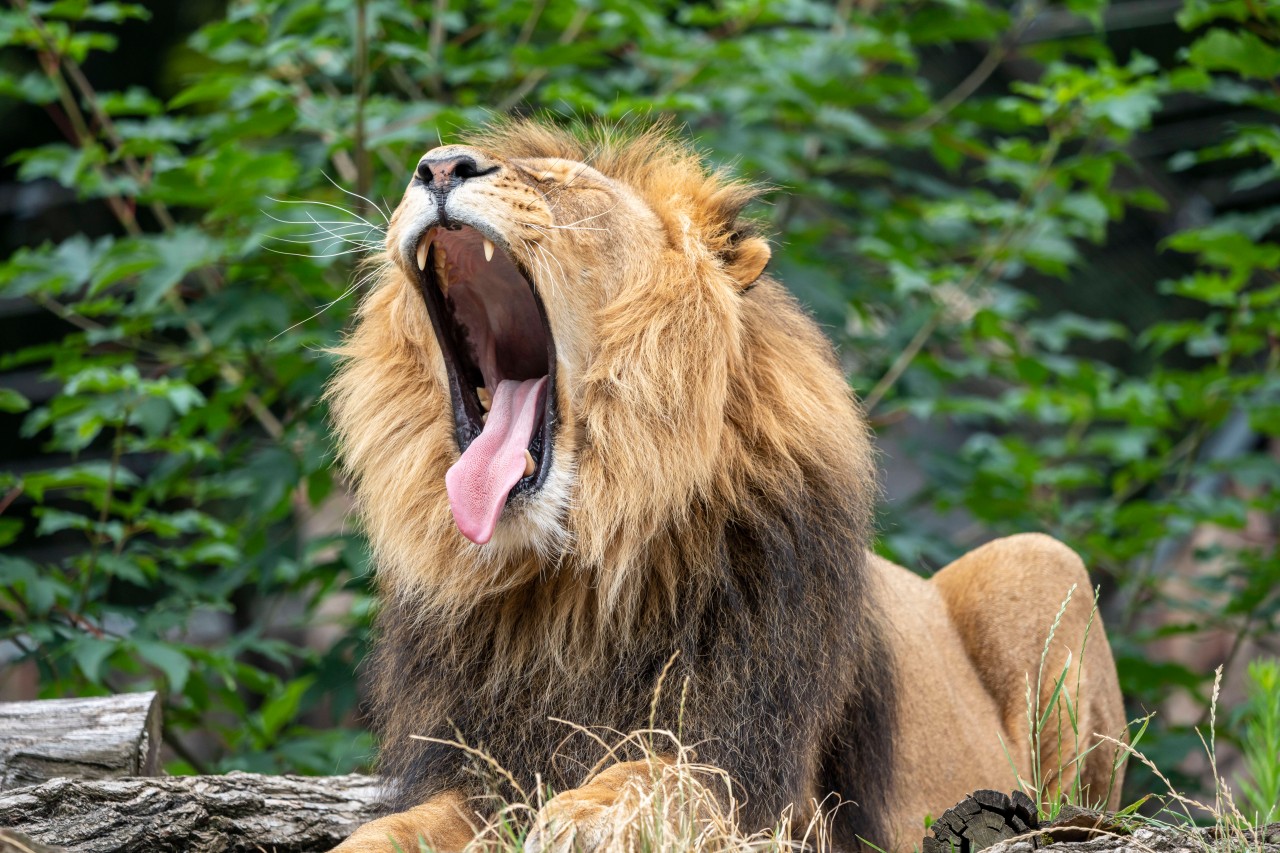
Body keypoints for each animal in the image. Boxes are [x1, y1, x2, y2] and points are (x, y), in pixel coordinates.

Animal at [325, 121, 1126, 850]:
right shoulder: (481, 768)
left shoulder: (775, 788)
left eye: (564, 185)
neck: (573, 583)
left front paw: (594, 812)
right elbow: (389, 832)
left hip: (1039, 560)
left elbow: (666, 773)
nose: (438, 166)